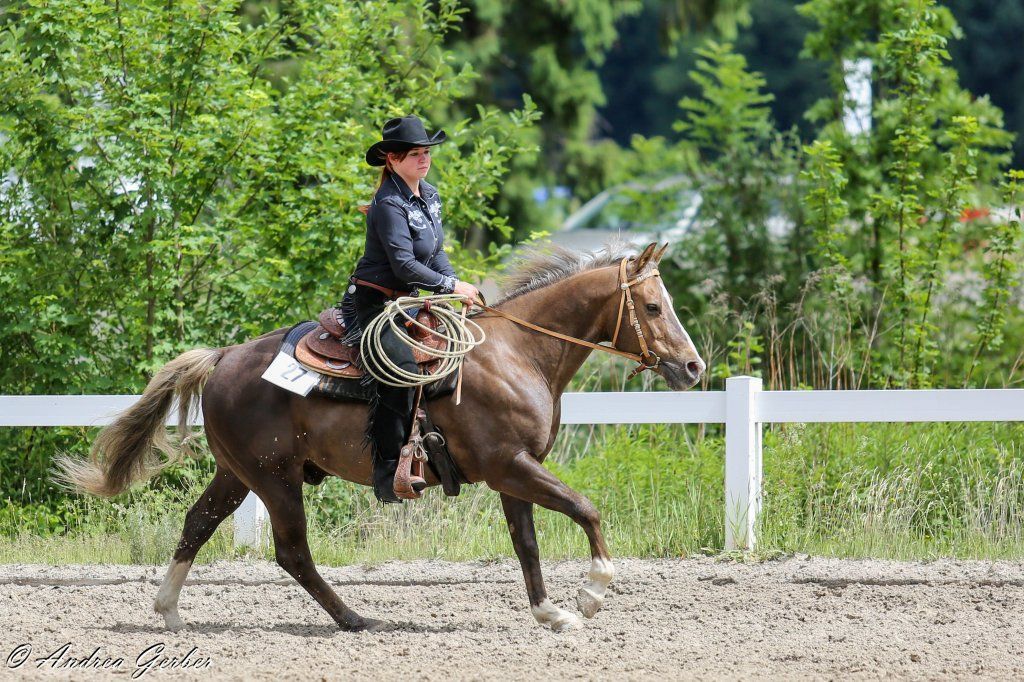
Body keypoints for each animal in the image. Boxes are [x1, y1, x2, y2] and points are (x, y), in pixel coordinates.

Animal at [56, 242, 705, 633]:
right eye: (653, 306)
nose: (694, 367)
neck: (520, 354)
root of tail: (223, 358)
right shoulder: (511, 465)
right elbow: (585, 509)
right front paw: (593, 594)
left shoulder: (513, 473)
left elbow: (527, 543)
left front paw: (551, 613)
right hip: (275, 479)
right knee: (292, 551)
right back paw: (355, 618)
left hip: (237, 474)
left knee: (198, 523)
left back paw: (168, 611)